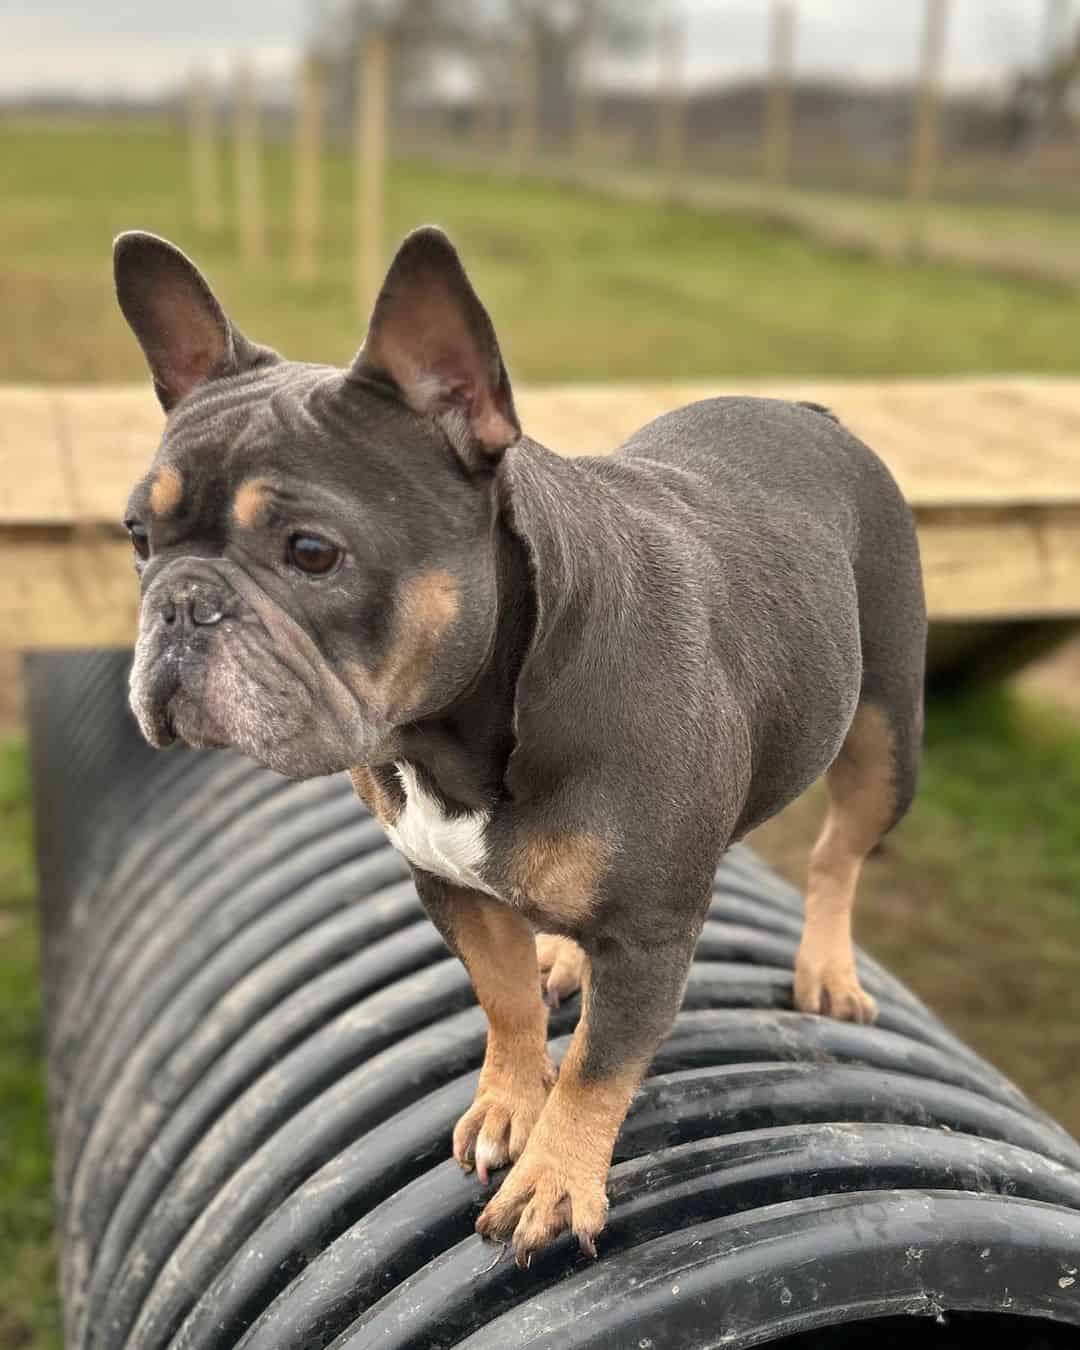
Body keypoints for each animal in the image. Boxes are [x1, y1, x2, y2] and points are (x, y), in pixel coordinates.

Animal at [118, 224, 928, 1263]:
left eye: (311, 553)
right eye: (138, 538)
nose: (181, 603)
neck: (456, 734)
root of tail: (812, 413)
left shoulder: (654, 930)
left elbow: (600, 1065)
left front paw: (554, 1179)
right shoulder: (446, 884)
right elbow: (502, 999)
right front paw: (511, 1104)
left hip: (885, 742)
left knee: (838, 855)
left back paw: (825, 966)